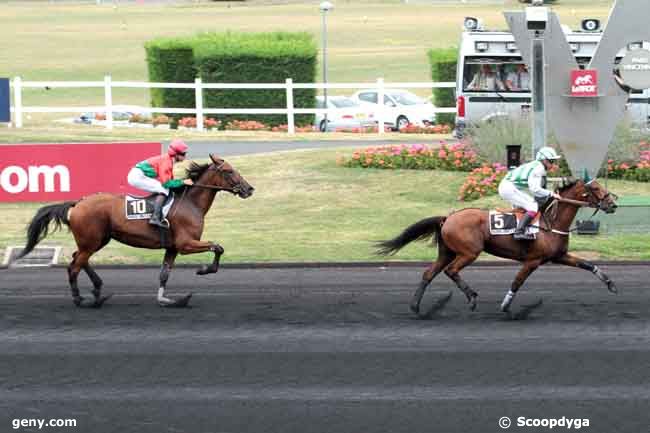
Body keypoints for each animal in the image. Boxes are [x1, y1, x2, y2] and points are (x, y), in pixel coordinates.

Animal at [15, 154, 253, 308]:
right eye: (229, 171)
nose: (249, 189)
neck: (190, 203)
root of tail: (78, 203)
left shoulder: (172, 247)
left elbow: (164, 274)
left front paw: (167, 300)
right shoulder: (186, 244)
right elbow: (218, 247)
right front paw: (204, 270)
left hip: (96, 240)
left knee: (79, 259)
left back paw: (97, 290)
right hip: (91, 241)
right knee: (74, 267)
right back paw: (81, 299)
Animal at [378, 176, 616, 318]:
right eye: (595, 188)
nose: (612, 204)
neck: (551, 222)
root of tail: (448, 217)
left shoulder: (560, 256)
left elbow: (588, 265)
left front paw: (611, 284)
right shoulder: (533, 261)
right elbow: (517, 281)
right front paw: (505, 306)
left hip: (447, 252)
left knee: (429, 273)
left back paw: (415, 306)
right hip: (469, 252)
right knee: (451, 271)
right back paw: (472, 297)